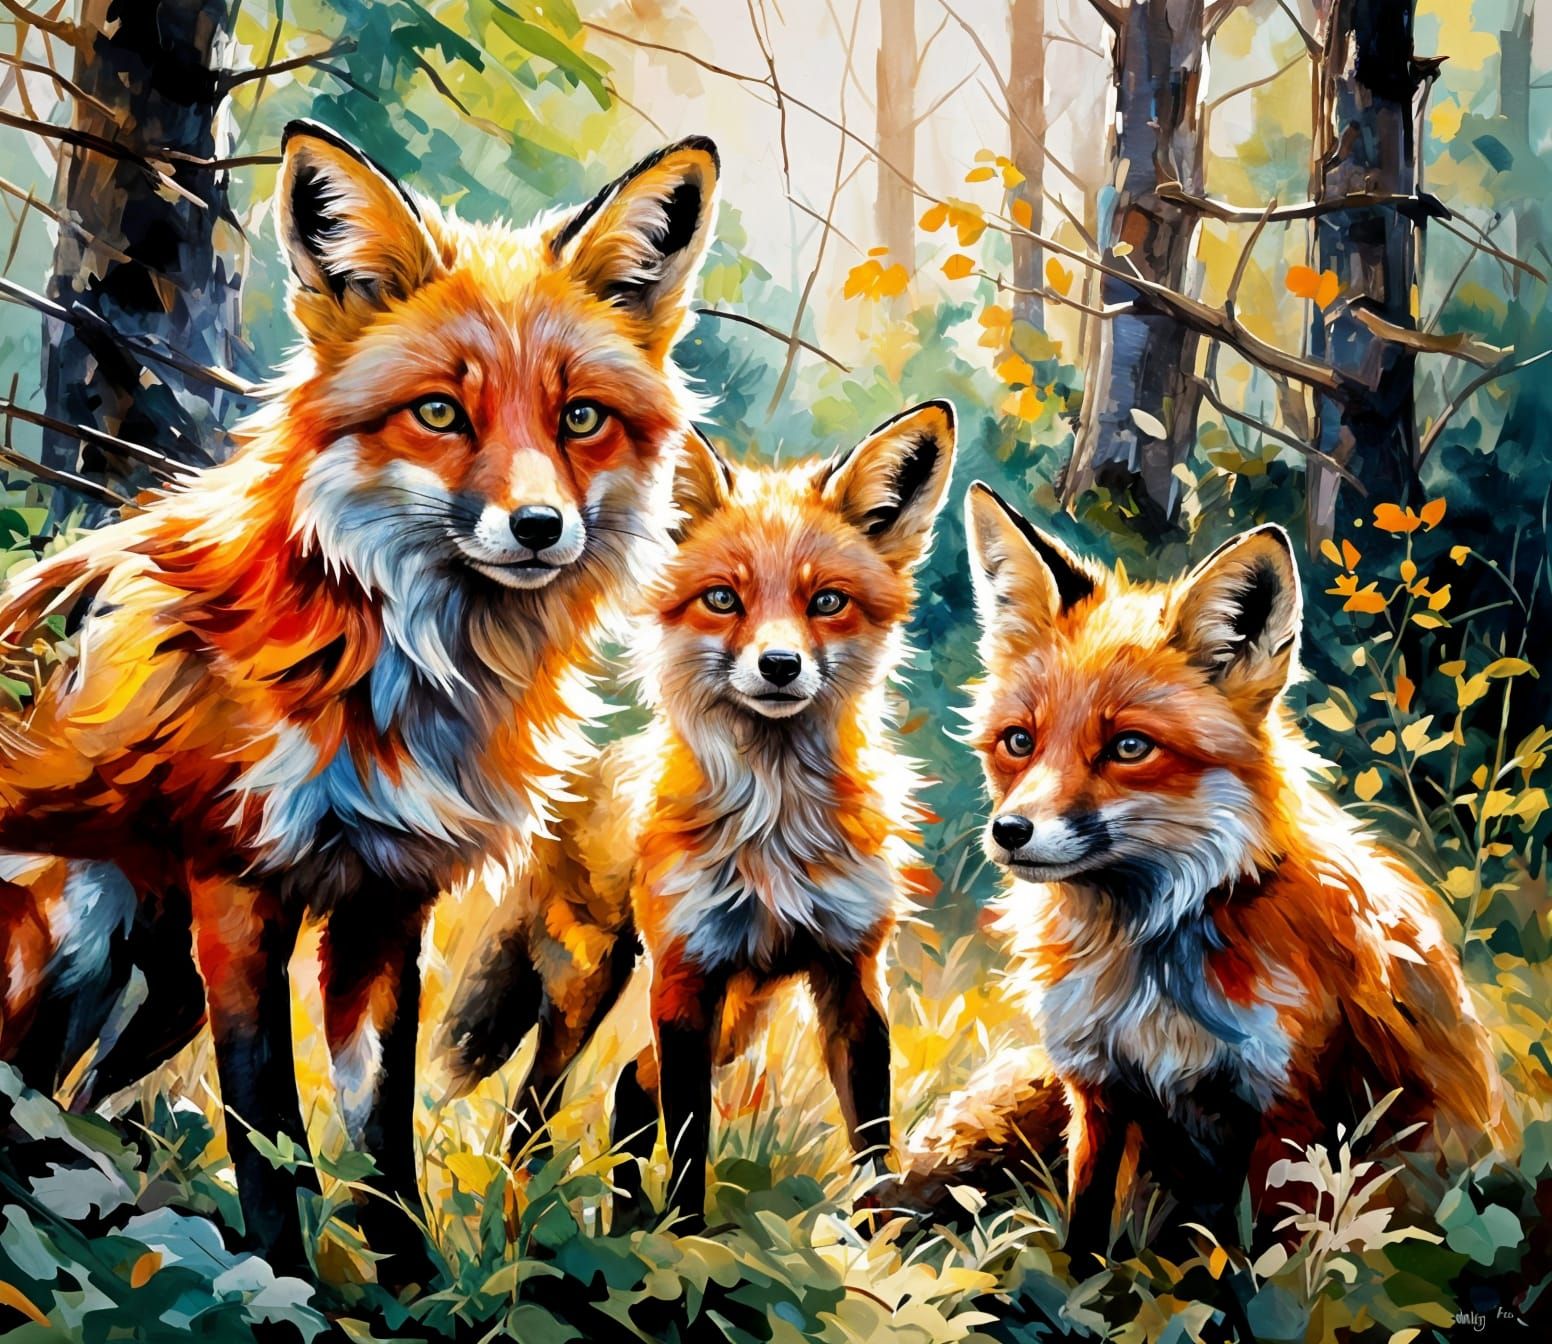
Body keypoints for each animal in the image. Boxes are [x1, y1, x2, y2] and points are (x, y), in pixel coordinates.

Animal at [0, 122, 720, 1270]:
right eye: (438, 413)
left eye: (580, 419)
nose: (538, 528)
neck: (394, 677)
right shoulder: (235, 888)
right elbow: (270, 1132)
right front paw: (284, 1273)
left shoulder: (388, 899)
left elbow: (381, 1144)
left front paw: (412, 1285)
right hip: (85, 910)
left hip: (150, 974)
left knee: (77, 1088)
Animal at [441, 402, 957, 1219]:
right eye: (723, 598)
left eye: (827, 602)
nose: (779, 666)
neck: (777, 824)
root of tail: (583, 776)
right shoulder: (686, 976)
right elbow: (689, 1143)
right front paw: (686, 1237)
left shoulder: (851, 974)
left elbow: (873, 1141)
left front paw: (882, 1239)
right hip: (591, 987)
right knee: (533, 1106)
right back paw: (531, 1207)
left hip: (740, 1015)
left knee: (626, 1088)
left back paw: (621, 1219)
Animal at [885, 484, 1509, 1256]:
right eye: (1019, 742)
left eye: (1129, 747)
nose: (1009, 832)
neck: (1147, 969)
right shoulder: (1098, 1090)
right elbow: (1085, 1235)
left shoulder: (1286, 1108)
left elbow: (1264, 1256)